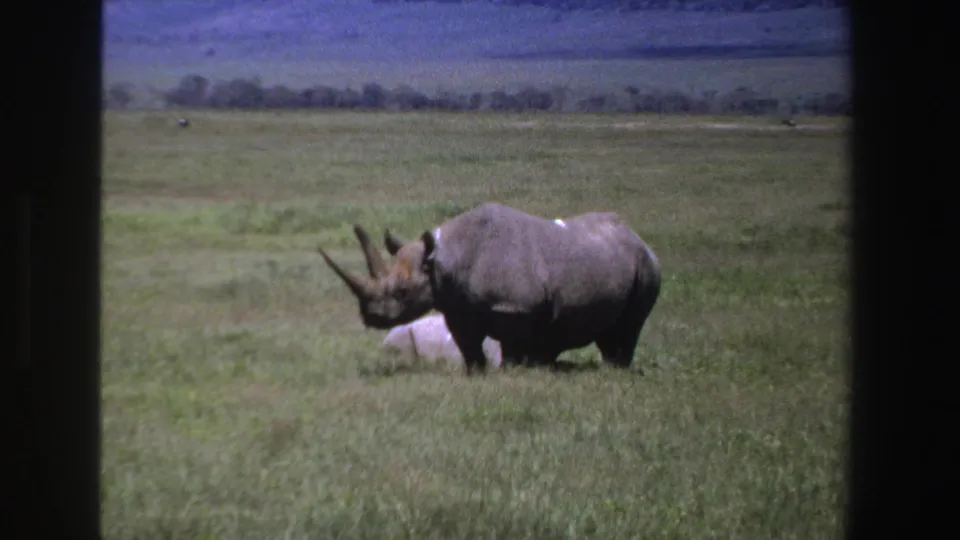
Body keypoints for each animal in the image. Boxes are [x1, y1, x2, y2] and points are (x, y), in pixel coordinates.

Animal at [317, 202, 661, 375]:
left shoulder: (517, 307)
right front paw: (476, 374)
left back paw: (615, 370)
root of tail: (638, 238)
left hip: (646, 267)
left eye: (402, 292)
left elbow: (515, 344)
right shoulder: (457, 307)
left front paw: (515, 371)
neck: (444, 259)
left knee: (630, 326)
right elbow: (468, 345)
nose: (370, 317)